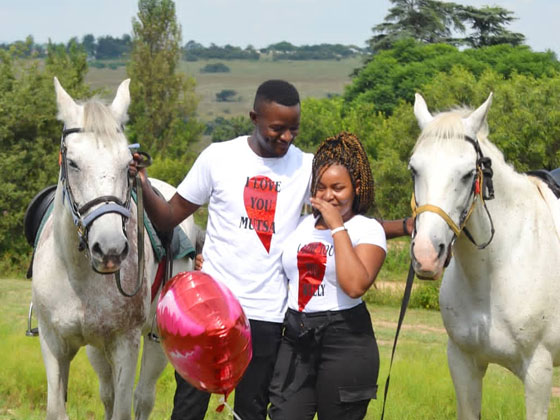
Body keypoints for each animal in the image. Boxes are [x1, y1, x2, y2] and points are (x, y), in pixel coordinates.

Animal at [32, 78, 197, 416]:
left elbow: (123, 409)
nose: (109, 249)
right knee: (107, 393)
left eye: (127, 165)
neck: (77, 276)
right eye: (73, 163)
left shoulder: (125, 344)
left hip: (155, 341)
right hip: (97, 349)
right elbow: (59, 408)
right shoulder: (53, 343)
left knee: (142, 398)